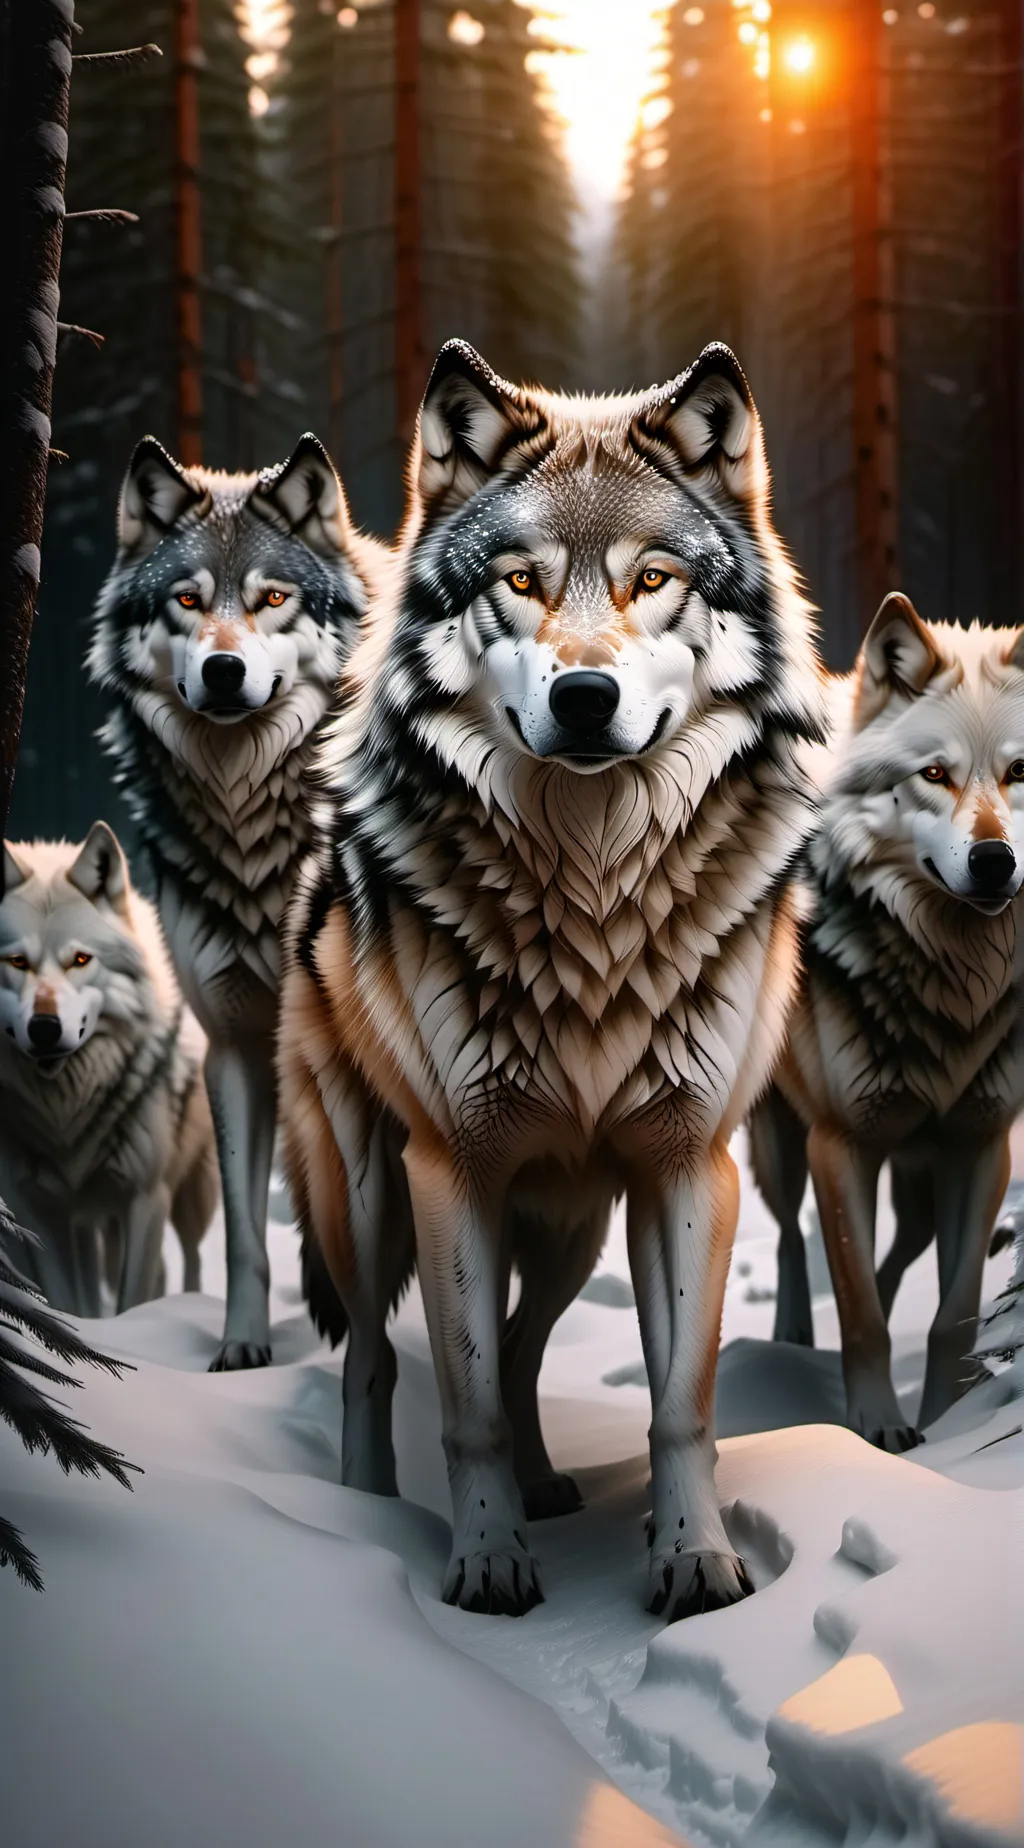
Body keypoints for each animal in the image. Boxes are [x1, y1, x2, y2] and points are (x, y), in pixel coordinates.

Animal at [0, 824, 216, 1318]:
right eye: (16, 962)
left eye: (80, 960)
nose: (44, 1028)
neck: (66, 1112)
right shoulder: (40, 1210)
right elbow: (66, 1302)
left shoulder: (145, 1198)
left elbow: (132, 1294)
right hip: (87, 1223)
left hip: (190, 1193)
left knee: (191, 1258)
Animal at [89, 434, 387, 1368]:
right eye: (187, 599)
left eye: (273, 598)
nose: (224, 670)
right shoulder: (235, 1042)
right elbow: (248, 1237)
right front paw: (243, 1349)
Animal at [278, 339, 827, 1620]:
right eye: (520, 582)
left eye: (654, 580)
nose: (584, 697)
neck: (591, 893)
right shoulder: (454, 1171)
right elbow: (467, 1401)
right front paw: (484, 1562)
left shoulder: (685, 1167)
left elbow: (679, 1402)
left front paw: (695, 1560)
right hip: (365, 1201)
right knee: (373, 1359)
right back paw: (362, 1508)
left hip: (572, 1221)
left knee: (527, 1341)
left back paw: (540, 1485)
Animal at [757, 595, 1024, 1448]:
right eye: (934, 775)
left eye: (1020, 772)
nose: (996, 862)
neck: (951, 983)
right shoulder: (841, 1144)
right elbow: (863, 1314)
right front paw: (877, 1430)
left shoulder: (979, 1148)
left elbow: (954, 1313)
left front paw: (946, 1421)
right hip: (782, 1146)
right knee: (789, 1236)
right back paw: (790, 1338)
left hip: (918, 1181)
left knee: (895, 1253)